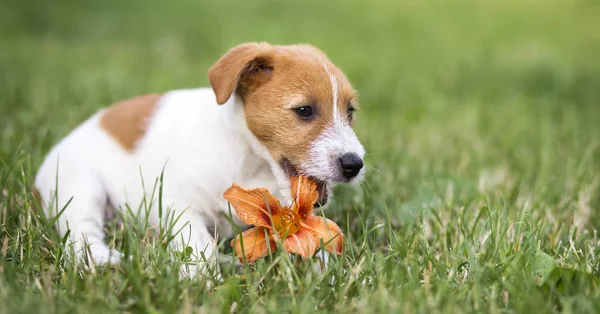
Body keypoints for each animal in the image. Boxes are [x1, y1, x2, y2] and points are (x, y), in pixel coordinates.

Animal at [37, 41, 368, 278]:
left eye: (350, 111)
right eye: (304, 111)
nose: (354, 165)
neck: (250, 161)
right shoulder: (175, 203)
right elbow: (198, 242)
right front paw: (204, 282)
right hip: (79, 187)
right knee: (82, 234)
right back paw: (107, 259)